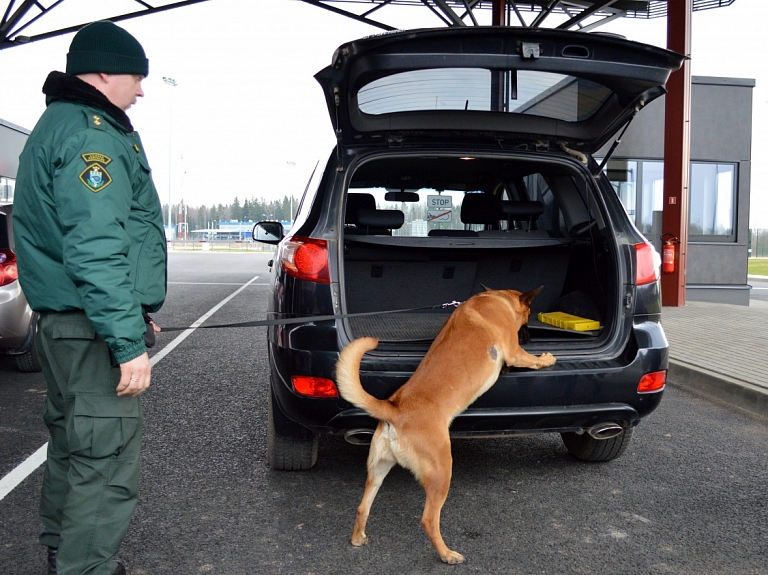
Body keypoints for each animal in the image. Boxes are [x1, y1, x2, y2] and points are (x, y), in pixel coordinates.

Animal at [340, 286, 556, 564]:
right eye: (529, 316)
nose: (530, 338)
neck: (496, 299)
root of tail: (395, 408)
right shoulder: (515, 352)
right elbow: (532, 360)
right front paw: (546, 358)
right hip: (441, 472)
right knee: (428, 520)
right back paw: (447, 555)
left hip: (378, 470)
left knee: (362, 507)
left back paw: (358, 538)